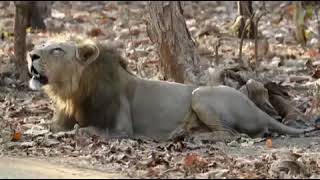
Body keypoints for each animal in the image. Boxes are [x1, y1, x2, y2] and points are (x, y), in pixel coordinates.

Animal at [26, 39, 316, 141]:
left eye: (56, 49)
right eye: (43, 44)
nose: (31, 55)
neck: (71, 93)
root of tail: (257, 109)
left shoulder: (123, 129)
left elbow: (90, 129)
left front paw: (78, 131)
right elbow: (47, 127)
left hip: (201, 95)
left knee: (232, 134)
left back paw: (195, 137)